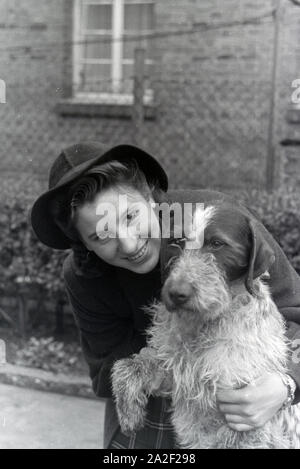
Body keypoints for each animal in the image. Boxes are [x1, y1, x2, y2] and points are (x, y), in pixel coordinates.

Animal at [111, 203, 300, 448]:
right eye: (176, 241)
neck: (204, 324)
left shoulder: (246, 421)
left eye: (217, 243)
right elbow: (126, 366)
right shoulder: (173, 372)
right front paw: (128, 413)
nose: (176, 293)